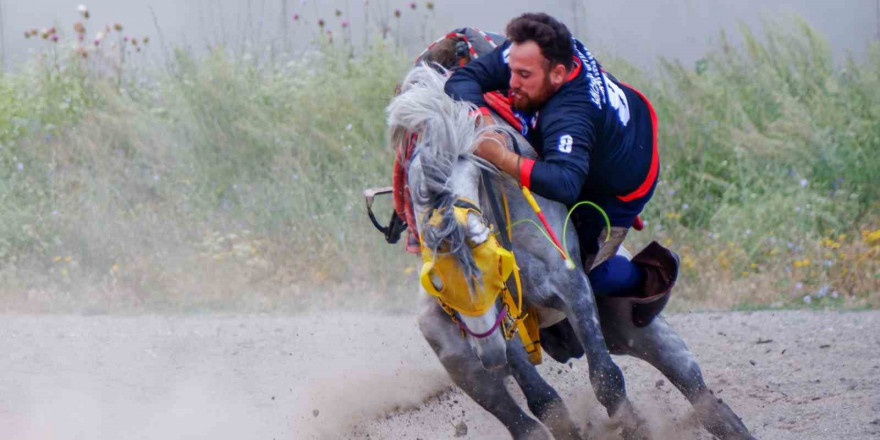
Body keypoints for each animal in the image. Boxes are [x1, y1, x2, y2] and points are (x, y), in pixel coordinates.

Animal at [386, 65, 756, 440]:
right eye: (438, 283)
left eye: (494, 268)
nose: (490, 356)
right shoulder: (501, 325)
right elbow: (545, 402)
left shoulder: (572, 287)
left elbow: (606, 380)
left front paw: (632, 426)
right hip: (461, 359)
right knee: (522, 422)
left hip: (645, 333)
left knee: (704, 399)